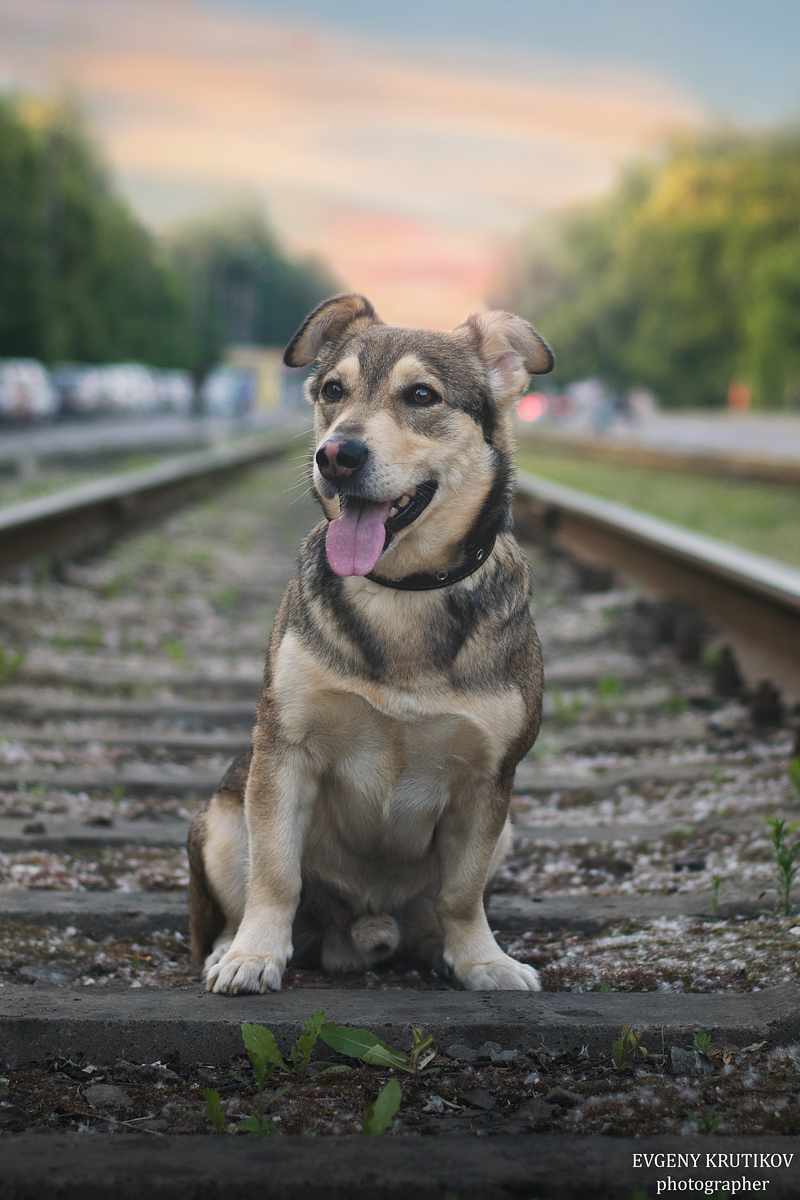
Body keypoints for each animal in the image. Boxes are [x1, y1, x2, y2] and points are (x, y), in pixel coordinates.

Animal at [188, 292, 554, 993]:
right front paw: (255, 955)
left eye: (421, 395)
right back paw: (228, 949)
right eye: (334, 389)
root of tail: (362, 933)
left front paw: (482, 960)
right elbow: (275, 872)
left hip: (508, 832)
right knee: (234, 901)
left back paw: (437, 948)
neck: (401, 590)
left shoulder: (490, 780)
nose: (337, 455)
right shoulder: (285, 750)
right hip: (219, 816)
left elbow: (462, 894)